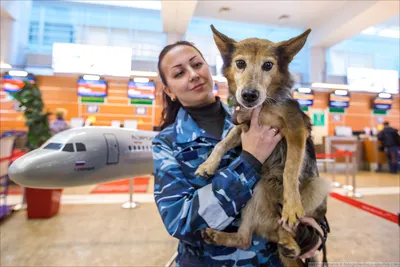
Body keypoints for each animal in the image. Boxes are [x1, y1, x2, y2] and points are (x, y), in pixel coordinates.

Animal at [195, 24, 332, 266]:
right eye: (240, 63)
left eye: (268, 65)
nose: (249, 95)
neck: (265, 104)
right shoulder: (242, 127)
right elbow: (222, 143)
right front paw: (207, 166)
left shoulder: (295, 129)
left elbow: (290, 170)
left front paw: (292, 205)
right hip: (256, 192)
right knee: (245, 239)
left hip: (319, 185)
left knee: (287, 224)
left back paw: (289, 238)